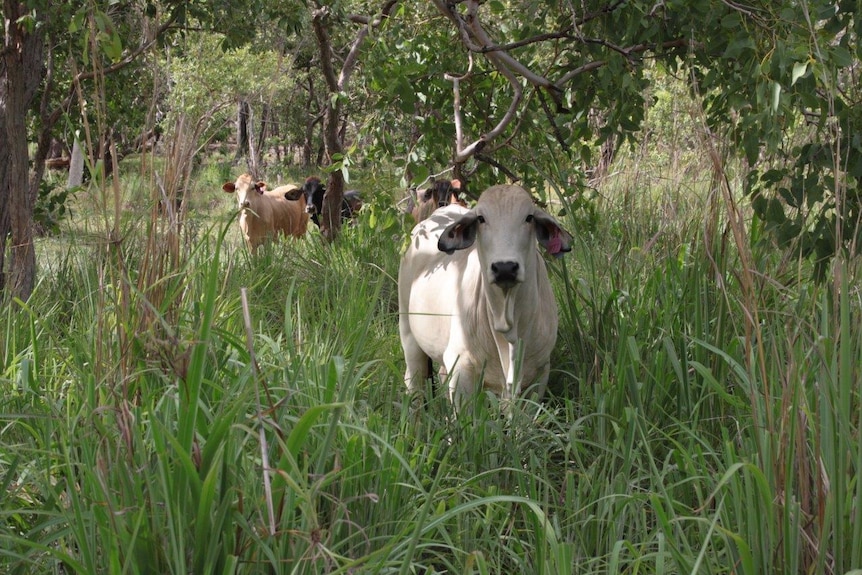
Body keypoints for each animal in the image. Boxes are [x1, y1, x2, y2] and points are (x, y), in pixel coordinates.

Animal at [400, 186, 572, 410]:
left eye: (529, 217)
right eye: (481, 218)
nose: (505, 267)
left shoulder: (539, 374)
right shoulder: (462, 370)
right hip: (408, 333)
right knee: (415, 384)